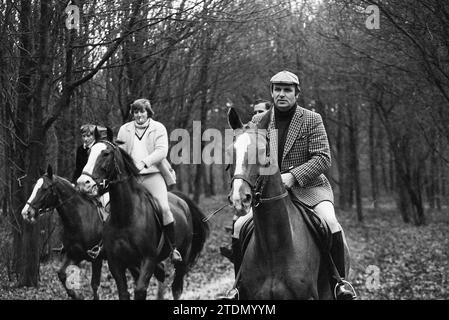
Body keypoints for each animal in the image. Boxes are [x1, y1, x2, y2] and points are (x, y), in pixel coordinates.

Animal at [76, 140, 209, 300]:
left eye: (106, 154)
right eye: (88, 153)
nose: (83, 183)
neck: (125, 218)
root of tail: (181, 201)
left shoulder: (148, 259)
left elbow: (140, 290)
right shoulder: (117, 263)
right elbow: (124, 292)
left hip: (183, 255)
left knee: (177, 287)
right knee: (162, 274)